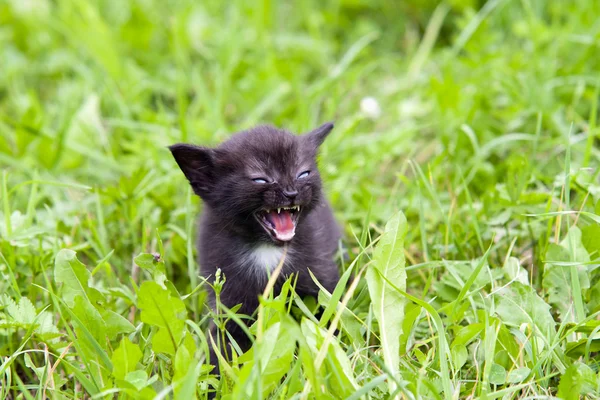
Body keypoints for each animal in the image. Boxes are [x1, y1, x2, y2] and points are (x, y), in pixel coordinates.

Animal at [169, 122, 342, 368]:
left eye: (303, 173)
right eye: (261, 179)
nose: (291, 192)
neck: (267, 249)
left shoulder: (322, 276)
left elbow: (329, 317)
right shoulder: (230, 301)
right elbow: (223, 341)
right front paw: (213, 374)